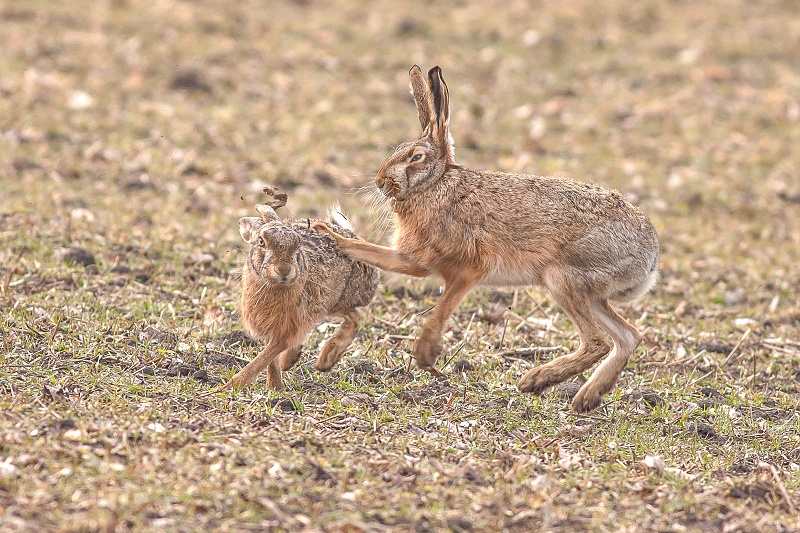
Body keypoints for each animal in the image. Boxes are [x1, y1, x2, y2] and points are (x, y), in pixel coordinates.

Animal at [222, 200, 379, 391]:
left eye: (297, 245)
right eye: (261, 242)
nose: (284, 270)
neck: (276, 286)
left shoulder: (287, 329)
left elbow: (266, 355)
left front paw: (232, 385)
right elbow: (270, 358)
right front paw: (274, 386)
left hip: (338, 300)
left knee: (354, 318)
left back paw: (325, 359)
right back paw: (292, 360)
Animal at [313, 65, 659, 412]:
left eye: (416, 157)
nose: (380, 181)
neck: (436, 185)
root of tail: (650, 257)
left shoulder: (470, 268)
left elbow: (442, 307)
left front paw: (425, 354)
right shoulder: (414, 260)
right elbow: (369, 251)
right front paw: (325, 232)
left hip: (564, 277)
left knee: (597, 342)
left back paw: (536, 381)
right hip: (591, 293)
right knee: (628, 336)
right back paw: (587, 396)